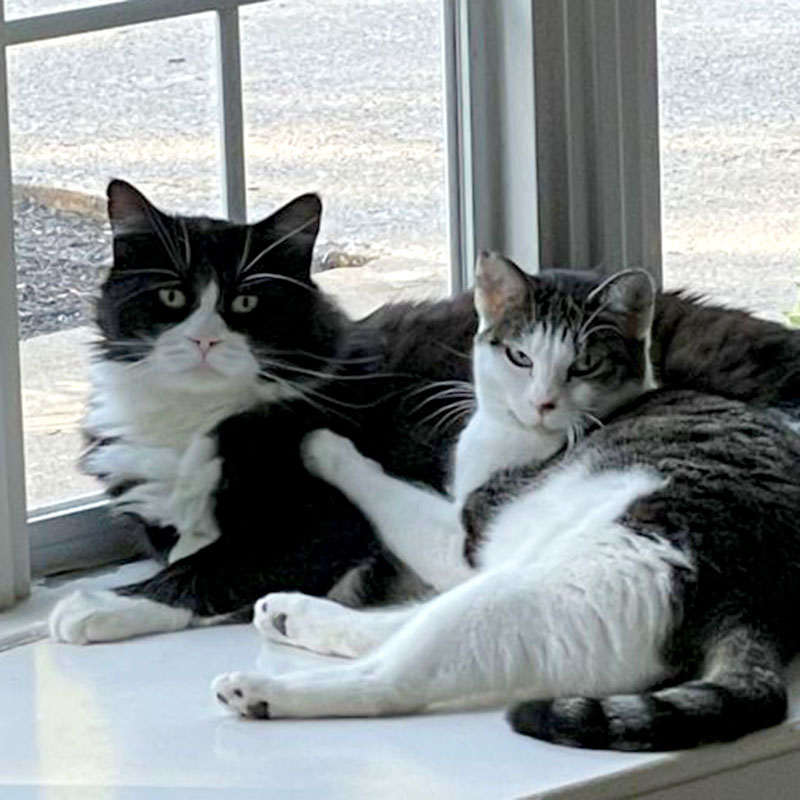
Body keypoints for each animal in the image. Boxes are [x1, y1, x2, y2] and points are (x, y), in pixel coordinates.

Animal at [214, 255, 800, 752]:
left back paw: (260, 691)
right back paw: (288, 614)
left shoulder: (463, 532)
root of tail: (755, 605)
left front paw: (320, 446)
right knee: (399, 626)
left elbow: (383, 486)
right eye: (521, 357)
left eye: (585, 365)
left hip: (541, 587)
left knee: (389, 678)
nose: (543, 403)